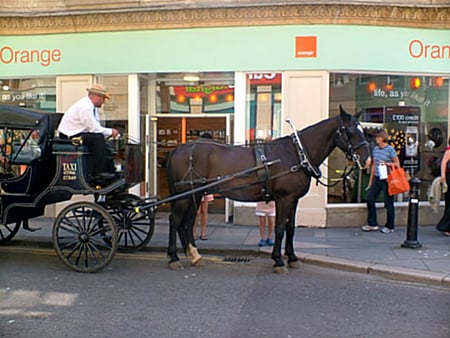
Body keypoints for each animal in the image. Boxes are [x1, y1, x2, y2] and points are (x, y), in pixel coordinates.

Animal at [165, 104, 370, 274]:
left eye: (364, 130)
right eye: (350, 131)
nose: (367, 160)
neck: (297, 154)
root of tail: (179, 149)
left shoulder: (293, 199)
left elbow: (290, 227)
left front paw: (292, 257)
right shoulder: (284, 198)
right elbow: (279, 228)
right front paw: (278, 260)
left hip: (196, 194)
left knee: (187, 221)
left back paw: (194, 255)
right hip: (185, 195)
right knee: (175, 220)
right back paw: (174, 258)